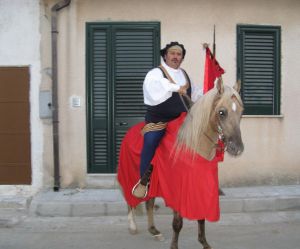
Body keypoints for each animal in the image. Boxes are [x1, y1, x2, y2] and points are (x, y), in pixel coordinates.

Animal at [117, 78, 244, 249]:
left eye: (241, 112)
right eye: (222, 112)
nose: (237, 148)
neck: (193, 146)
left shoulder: (199, 189)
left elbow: (201, 217)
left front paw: (204, 243)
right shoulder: (177, 192)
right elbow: (177, 223)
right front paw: (174, 246)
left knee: (149, 203)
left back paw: (154, 230)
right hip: (130, 176)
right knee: (130, 199)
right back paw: (132, 225)